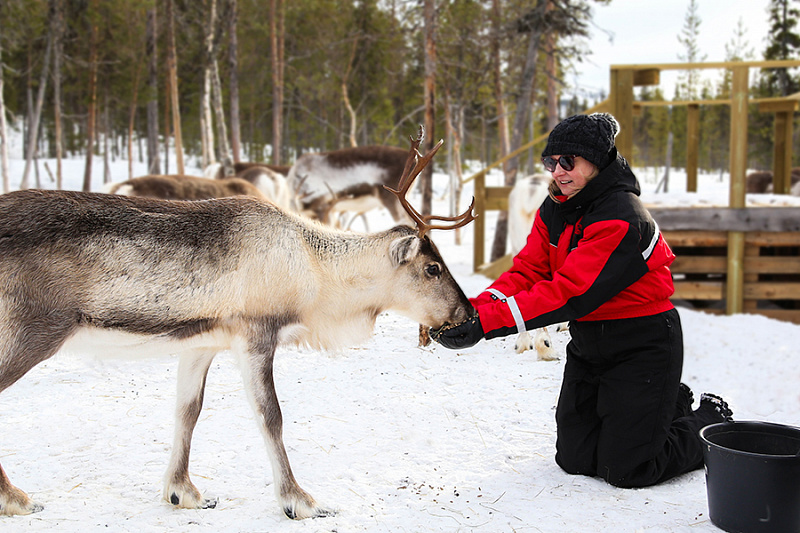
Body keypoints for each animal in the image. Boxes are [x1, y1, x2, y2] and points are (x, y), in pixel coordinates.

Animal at [0, 127, 476, 520]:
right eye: (432, 268)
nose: (466, 313)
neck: (314, 270)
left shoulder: (201, 343)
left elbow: (187, 411)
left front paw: (182, 491)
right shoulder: (256, 335)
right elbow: (271, 415)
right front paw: (298, 500)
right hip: (31, 332)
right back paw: (17, 499)